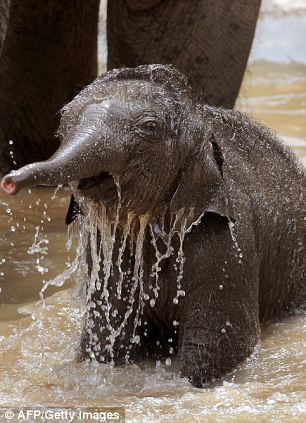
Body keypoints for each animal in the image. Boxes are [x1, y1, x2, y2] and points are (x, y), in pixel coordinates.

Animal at [1, 64, 304, 390]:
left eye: (149, 128)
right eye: (60, 130)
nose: (9, 181)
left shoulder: (230, 240)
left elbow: (218, 348)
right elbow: (104, 339)